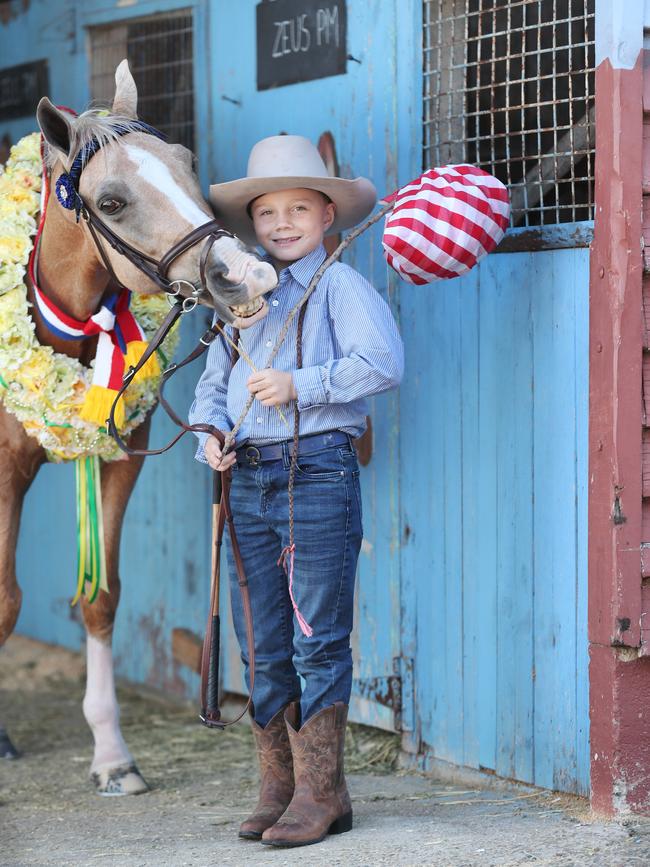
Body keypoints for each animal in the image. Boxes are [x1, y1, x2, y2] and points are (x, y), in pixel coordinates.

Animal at [0, 61, 274, 792]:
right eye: (114, 201)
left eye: (187, 162)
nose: (245, 274)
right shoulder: (4, 473)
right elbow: (5, 601)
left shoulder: (122, 458)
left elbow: (103, 598)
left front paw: (112, 755)